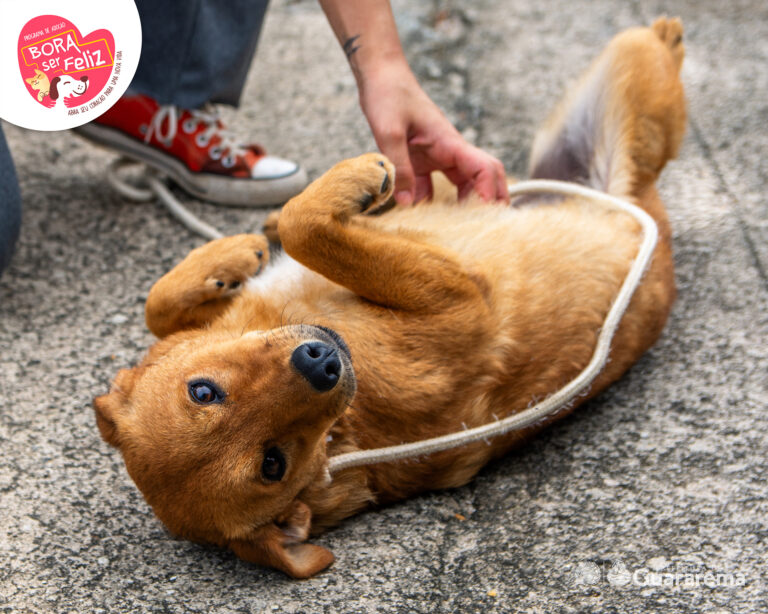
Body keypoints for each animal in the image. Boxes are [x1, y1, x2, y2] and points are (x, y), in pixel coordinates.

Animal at [93, 18, 688, 576]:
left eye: (203, 391)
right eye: (271, 464)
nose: (320, 362)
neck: (345, 433)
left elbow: (160, 304)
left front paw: (231, 259)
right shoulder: (463, 306)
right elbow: (305, 225)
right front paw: (337, 194)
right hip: (632, 114)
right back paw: (669, 37)